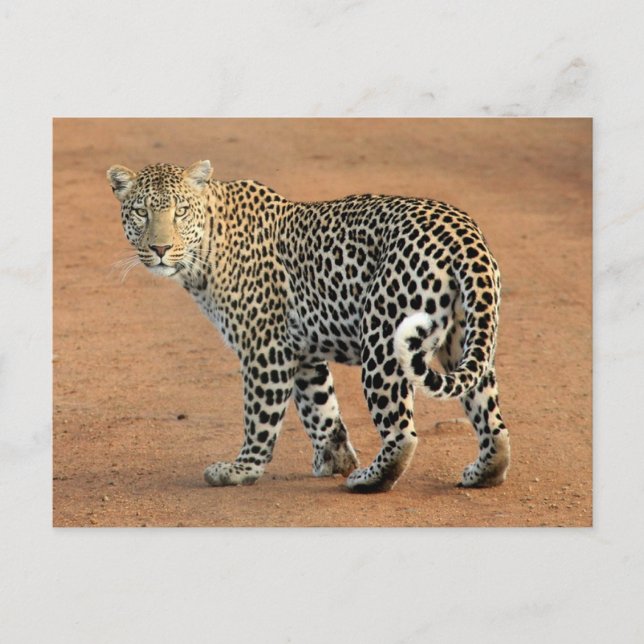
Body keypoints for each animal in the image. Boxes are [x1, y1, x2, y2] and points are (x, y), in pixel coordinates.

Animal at [107, 160, 510, 492]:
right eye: (141, 212)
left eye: (180, 212)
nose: (160, 249)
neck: (206, 248)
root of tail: (462, 232)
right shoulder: (302, 352)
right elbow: (321, 410)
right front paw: (335, 459)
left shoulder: (265, 348)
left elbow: (260, 416)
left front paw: (242, 469)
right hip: (465, 338)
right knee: (491, 419)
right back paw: (483, 472)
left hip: (383, 340)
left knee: (402, 433)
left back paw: (368, 479)